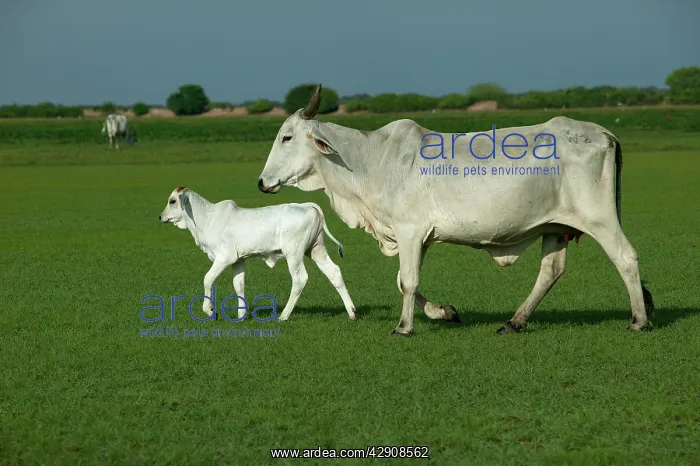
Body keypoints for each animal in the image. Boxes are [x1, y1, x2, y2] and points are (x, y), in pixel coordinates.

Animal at [158, 187, 357, 322]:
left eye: (172, 201)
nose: (160, 217)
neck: (207, 219)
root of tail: (307, 206)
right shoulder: (238, 260)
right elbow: (238, 285)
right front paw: (240, 315)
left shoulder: (224, 258)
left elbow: (207, 279)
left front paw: (210, 310)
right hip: (316, 249)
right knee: (334, 272)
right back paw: (352, 312)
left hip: (294, 254)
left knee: (300, 279)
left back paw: (284, 315)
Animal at [257, 84, 655, 337]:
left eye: (287, 137)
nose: (262, 182)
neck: (370, 160)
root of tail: (604, 133)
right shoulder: (419, 238)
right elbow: (405, 281)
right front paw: (444, 312)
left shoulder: (409, 230)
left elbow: (407, 280)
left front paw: (404, 327)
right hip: (555, 227)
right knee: (551, 271)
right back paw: (514, 322)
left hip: (599, 218)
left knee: (626, 257)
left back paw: (638, 320)